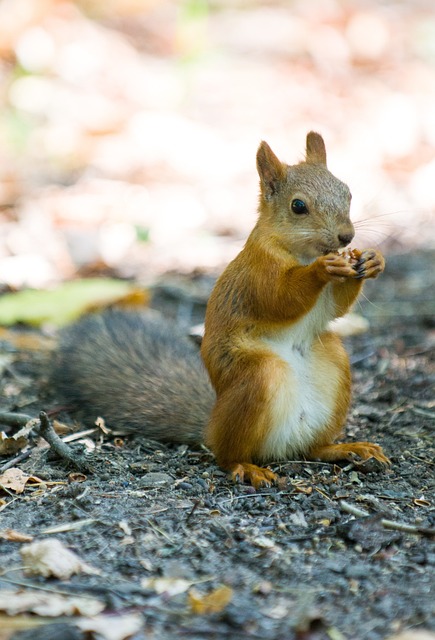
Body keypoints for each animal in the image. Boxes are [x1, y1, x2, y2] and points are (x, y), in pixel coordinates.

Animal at [50, 131, 388, 490]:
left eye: (347, 191)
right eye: (298, 206)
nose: (346, 236)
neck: (302, 252)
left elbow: (336, 307)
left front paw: (372, 260)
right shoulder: (258, 273)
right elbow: (281, 299)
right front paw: (322, 269)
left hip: (333, 362)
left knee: (313, 448)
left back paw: (347, 448)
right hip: (255, 377)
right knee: (227, 453)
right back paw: (247, 466)